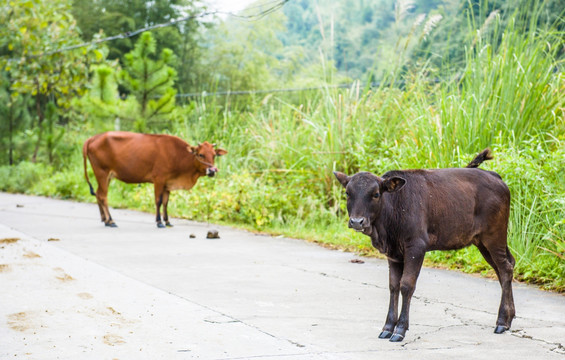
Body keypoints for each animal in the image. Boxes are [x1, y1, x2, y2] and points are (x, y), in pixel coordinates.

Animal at [82, 131, 227, 228]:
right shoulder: (159, 180)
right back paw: (111, 221)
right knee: (103, 196)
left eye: (214, 155)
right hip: (102, 173)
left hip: (107, 176)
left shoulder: (168, 183)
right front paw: (159, 222)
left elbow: (166, 203)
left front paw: (167, 221)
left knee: (98, 194)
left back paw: (105, 219)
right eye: (201, 154)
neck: (178, 155)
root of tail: (93, 138)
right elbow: (158, 201)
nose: (212, 171)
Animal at [332, 150, 512, 344]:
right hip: (482, 242)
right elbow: (393, 286)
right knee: (504, 268)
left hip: (494, 236)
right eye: (347, 193)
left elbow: (406, 285)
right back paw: (509, 318)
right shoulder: (393, 253)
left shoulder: (416, 247)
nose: (357, 221)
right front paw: (388, 327)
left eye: (376, 194)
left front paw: (400, 329)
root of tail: (495, 176)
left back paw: (502, 322)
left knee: (506, 269)